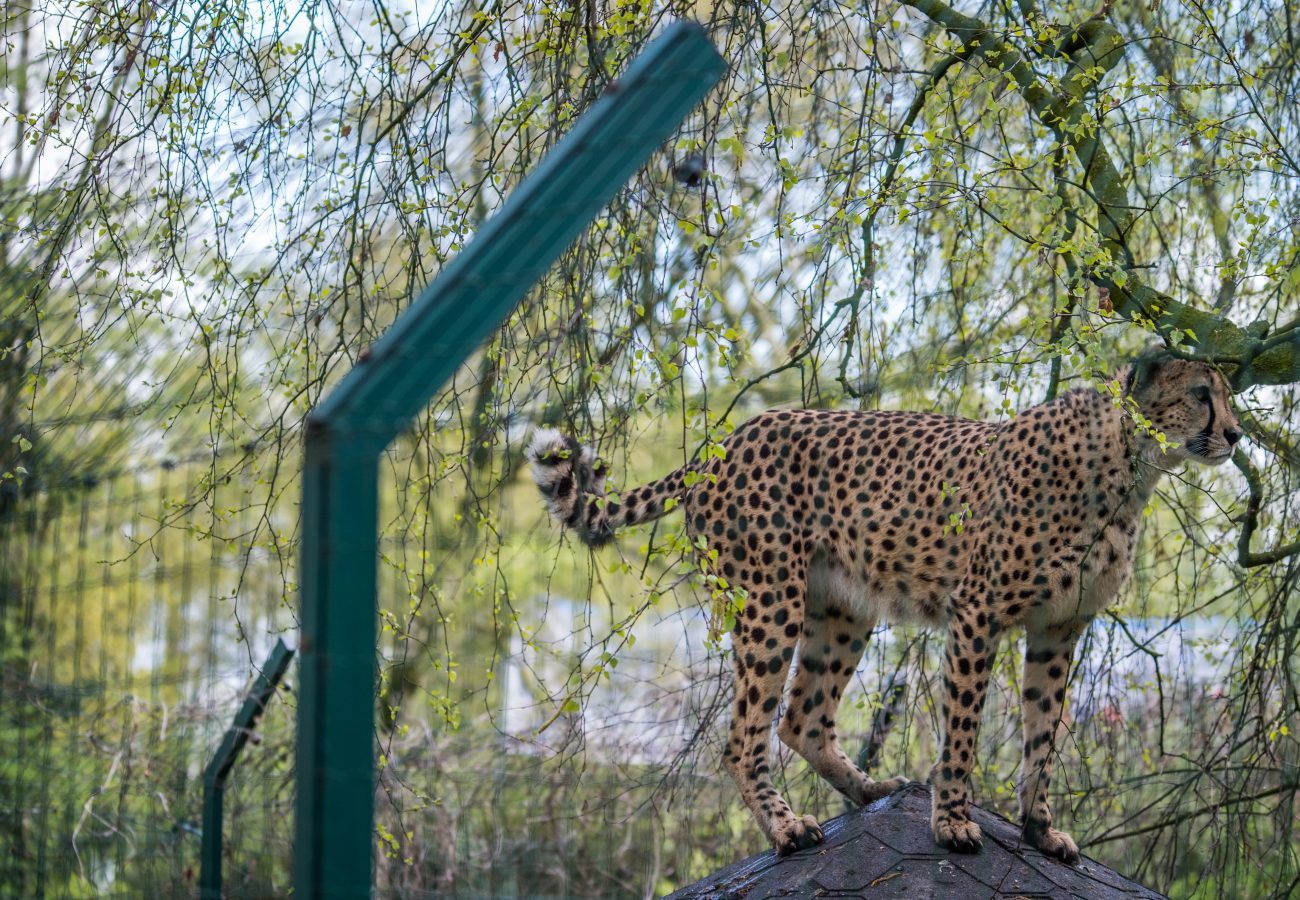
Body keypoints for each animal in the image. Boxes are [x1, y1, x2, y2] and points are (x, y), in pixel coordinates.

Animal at [530, 348, 1237, 858]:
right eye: (1201, 395)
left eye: (1226, 396)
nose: (1233, 434)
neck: (1128, 465)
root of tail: (728, 439)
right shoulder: (977, 614)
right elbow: (964, 732)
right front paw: (952, 824)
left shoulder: (1060, 627)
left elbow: (1043, 734)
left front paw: (1039, 829)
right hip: (769, 602)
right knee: (743, 737)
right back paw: (787, 828)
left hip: (843, 608)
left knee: (801, 718)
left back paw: (870, 787)